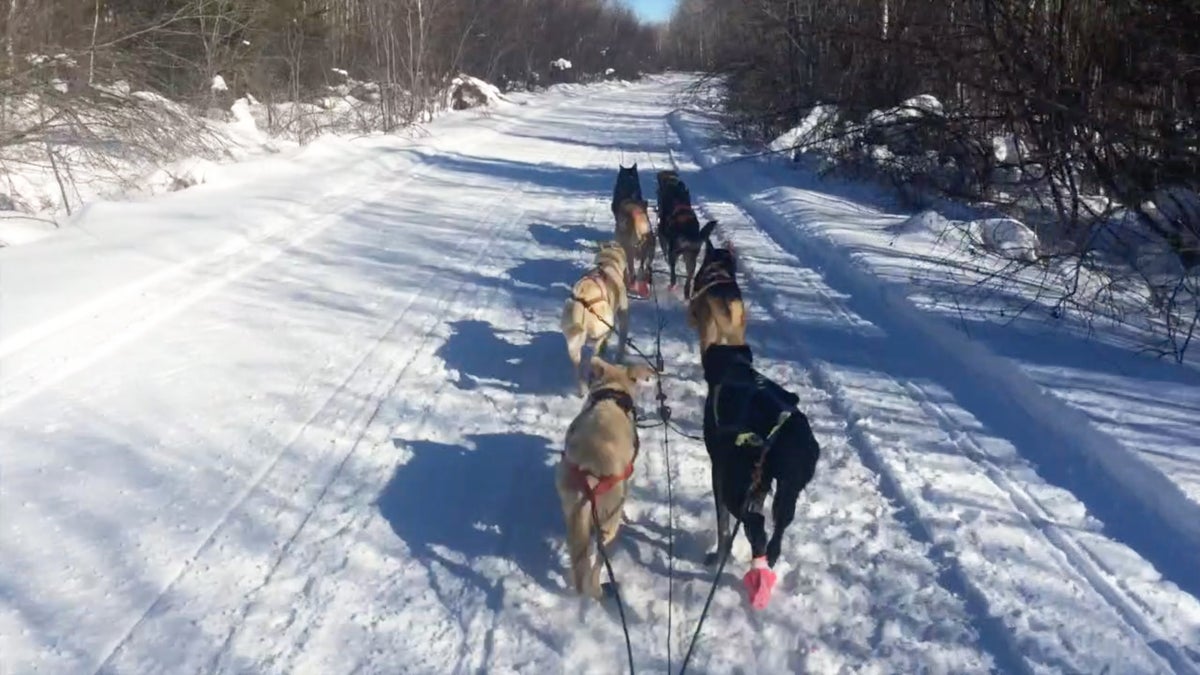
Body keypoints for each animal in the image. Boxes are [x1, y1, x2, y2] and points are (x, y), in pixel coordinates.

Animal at [554, 355, 652, 595]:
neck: (612, 392)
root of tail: (591, 474)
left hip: (573, 514)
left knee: (580, 559)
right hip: (608, 524)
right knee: (598, 563)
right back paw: (599, 588)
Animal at [561, 241, 633, 391]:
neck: (608, 262)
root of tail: (582, 302)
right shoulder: (622, 313)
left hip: (574, 344)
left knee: (579, 367)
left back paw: (583, 388)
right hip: (602, 328)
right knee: (594, 353)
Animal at [700, 343, 820, 607]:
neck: (737, 367)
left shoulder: (719, 472)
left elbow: (723, 525)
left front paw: (719, 555)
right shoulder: (762, 485)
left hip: (735, 485)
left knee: (757, 523)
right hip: (787, 490)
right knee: (773, 534)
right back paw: (764, 566)